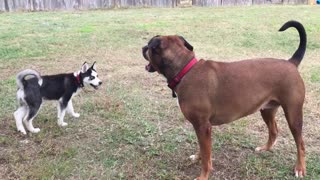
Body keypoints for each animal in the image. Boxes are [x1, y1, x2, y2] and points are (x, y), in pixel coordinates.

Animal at [142, 20, 308, 179]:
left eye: (149, 46)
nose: (143, 47)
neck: (185, 70)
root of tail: (290, 62)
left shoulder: (203, 127)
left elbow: (206, 157)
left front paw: (203, 175)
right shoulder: (201, 128)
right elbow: (204, 150)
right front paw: (198, 157)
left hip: (293, 115)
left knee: (300, 143)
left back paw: (299, 168)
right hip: (267, 110)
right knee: (273, 131)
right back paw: (265, 148)